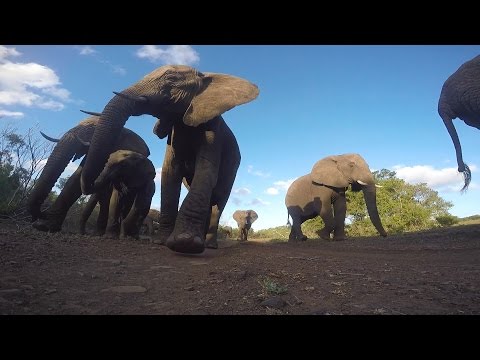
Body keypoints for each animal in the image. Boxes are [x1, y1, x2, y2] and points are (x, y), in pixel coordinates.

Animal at [79, 64, 260, 253]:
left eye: (171, 79)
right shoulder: (173, 131)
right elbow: (169, 172)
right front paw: (162, 242)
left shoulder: (213, 130)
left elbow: (206, 170)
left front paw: (186, 243)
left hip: (233, 169)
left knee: (219, 202)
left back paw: (210, 245)